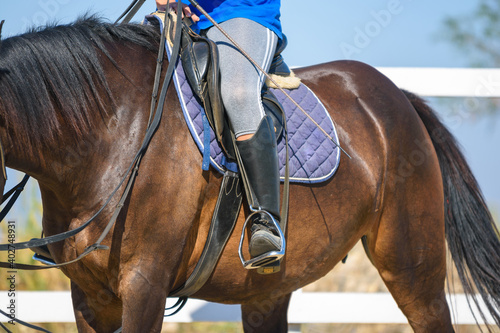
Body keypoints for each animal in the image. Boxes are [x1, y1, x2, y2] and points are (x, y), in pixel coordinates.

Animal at [0, 18, 498, 332]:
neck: (115, 127)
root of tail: (396, 94)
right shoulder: (89, 296)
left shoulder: (144, 284)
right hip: (269, 290)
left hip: (413, 268)